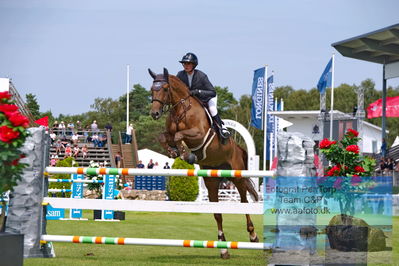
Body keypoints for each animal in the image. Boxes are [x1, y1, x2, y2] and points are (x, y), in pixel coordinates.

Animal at [149, 67, 260, 258]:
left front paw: (187, 154)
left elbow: (179, 136)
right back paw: (223, 249)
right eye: (151, 89)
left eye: (164, 88)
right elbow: (165, 136)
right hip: (211, 180)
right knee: (217, 213)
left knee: (244, 202)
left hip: (237, 176)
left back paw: (253, 235)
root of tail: (238, 148)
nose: (155, 113)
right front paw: (174, 152)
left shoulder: (198, 134)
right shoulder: (169, 133)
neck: (181, 110)